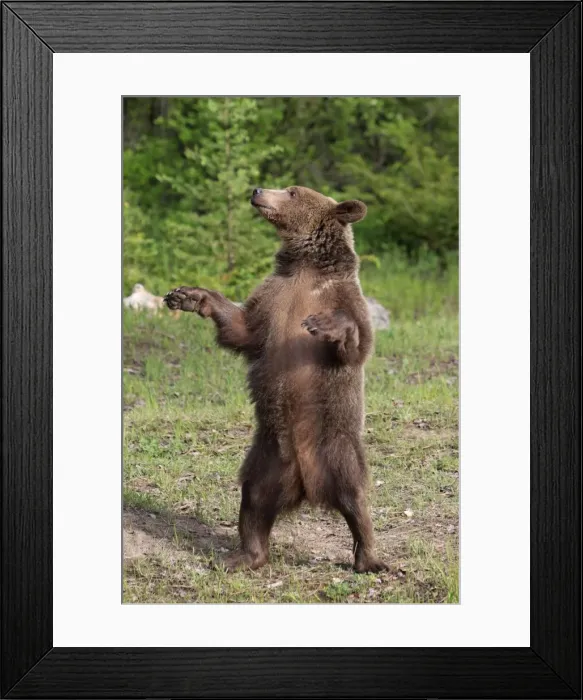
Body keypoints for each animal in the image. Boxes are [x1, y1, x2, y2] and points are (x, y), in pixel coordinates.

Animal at [164, 186, 388, 573]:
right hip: (267, 458)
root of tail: (307, 485)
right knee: (253, 499)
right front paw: (190, 295)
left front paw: (326, 324)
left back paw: (369, 559)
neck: (306, 266)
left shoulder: (345, 297)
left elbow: (357, 343)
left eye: (292, 192)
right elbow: (243, 329)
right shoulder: (272, 298)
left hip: (337, 445)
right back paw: (244, 555)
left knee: (355, 497)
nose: (257, 190)